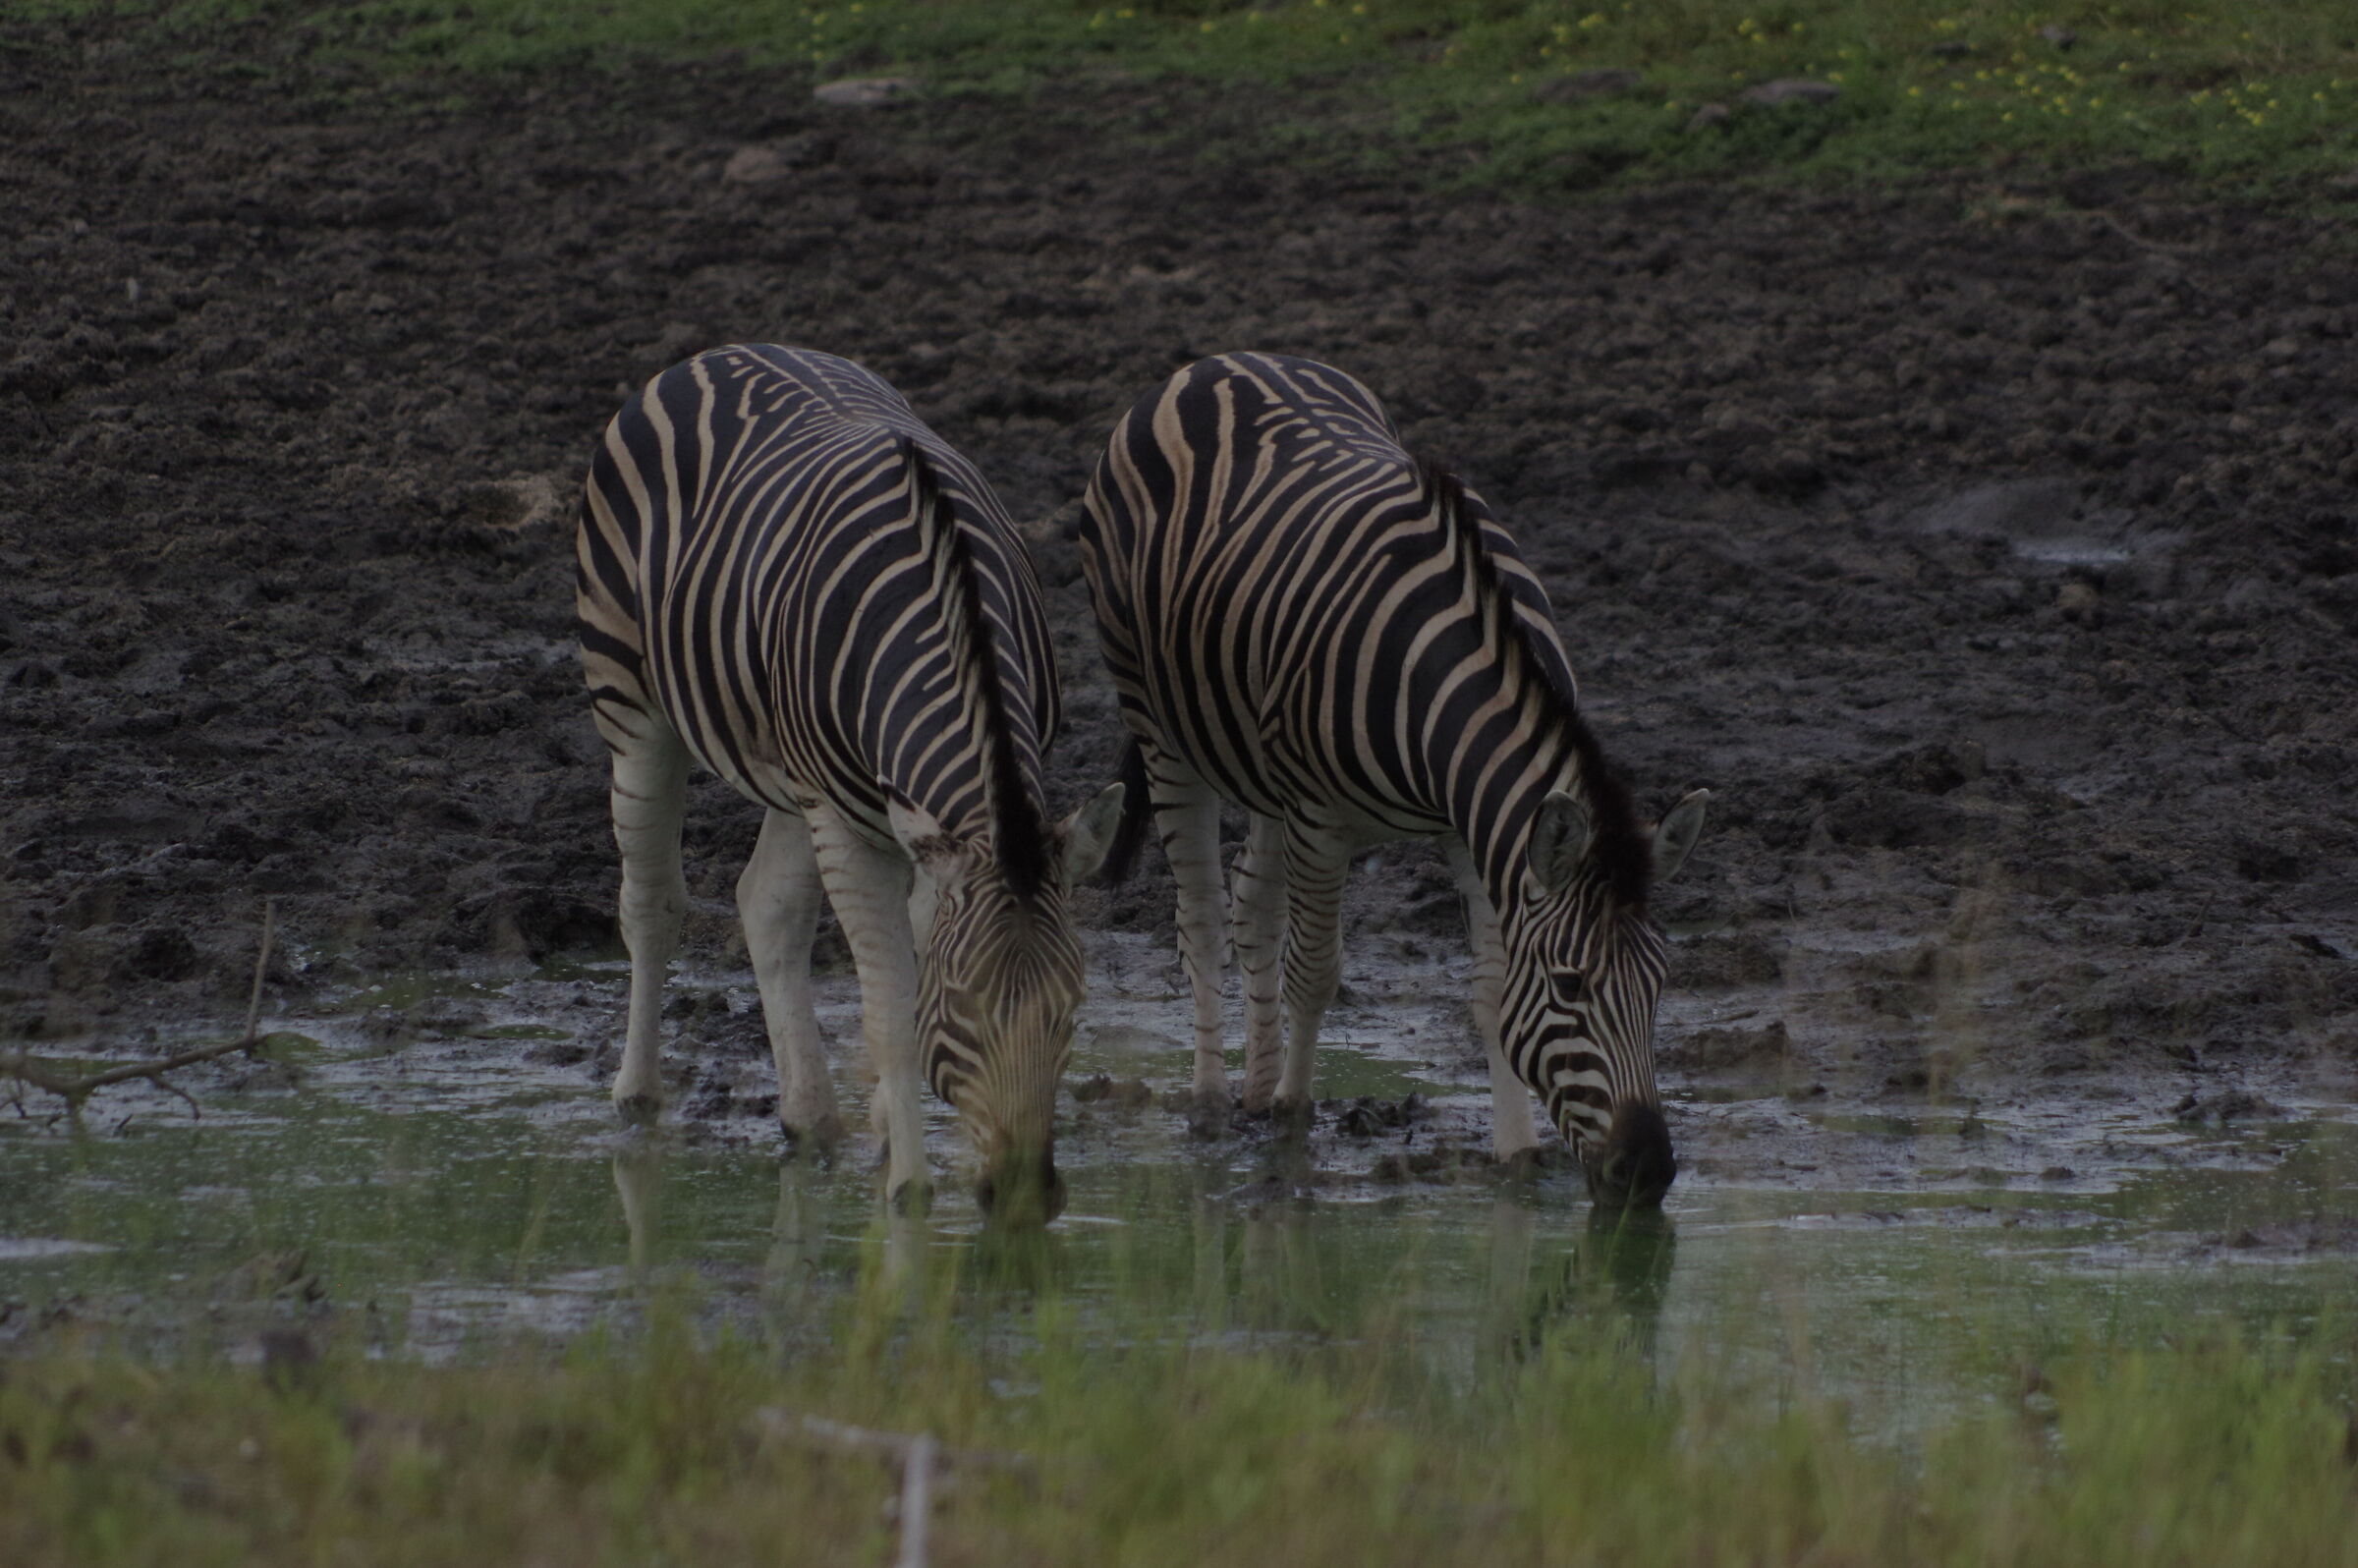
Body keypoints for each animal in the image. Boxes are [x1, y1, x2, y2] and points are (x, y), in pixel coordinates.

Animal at [576, 344, 1123, 1221]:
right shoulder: (856, 823)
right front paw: (909, 1185)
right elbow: (891, 1004)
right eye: (961, 1010)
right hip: (633, 705)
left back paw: (811, 1116)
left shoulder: (926, 827)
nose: (1022, 1198)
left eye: (1071, 1011)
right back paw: (638, 1097)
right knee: (651, 904)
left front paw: (889, 1133)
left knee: (765, 903)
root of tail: (726, 351)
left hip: (795, 774)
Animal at [1077, 352, 1707, 1208]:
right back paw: (1213, 1106)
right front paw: (1293, 1127)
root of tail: (1218, 362)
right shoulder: (1322, 819)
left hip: (1258, 756)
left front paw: (1515, 1157)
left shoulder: (1478, 833)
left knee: (1252, 901)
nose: (1648, 1171)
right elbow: (1315, 974)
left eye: (1662, 982)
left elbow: (1490, 991)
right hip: (1159, 723)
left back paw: (1252, 1089)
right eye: (1572, 985)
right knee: (1203, 915)